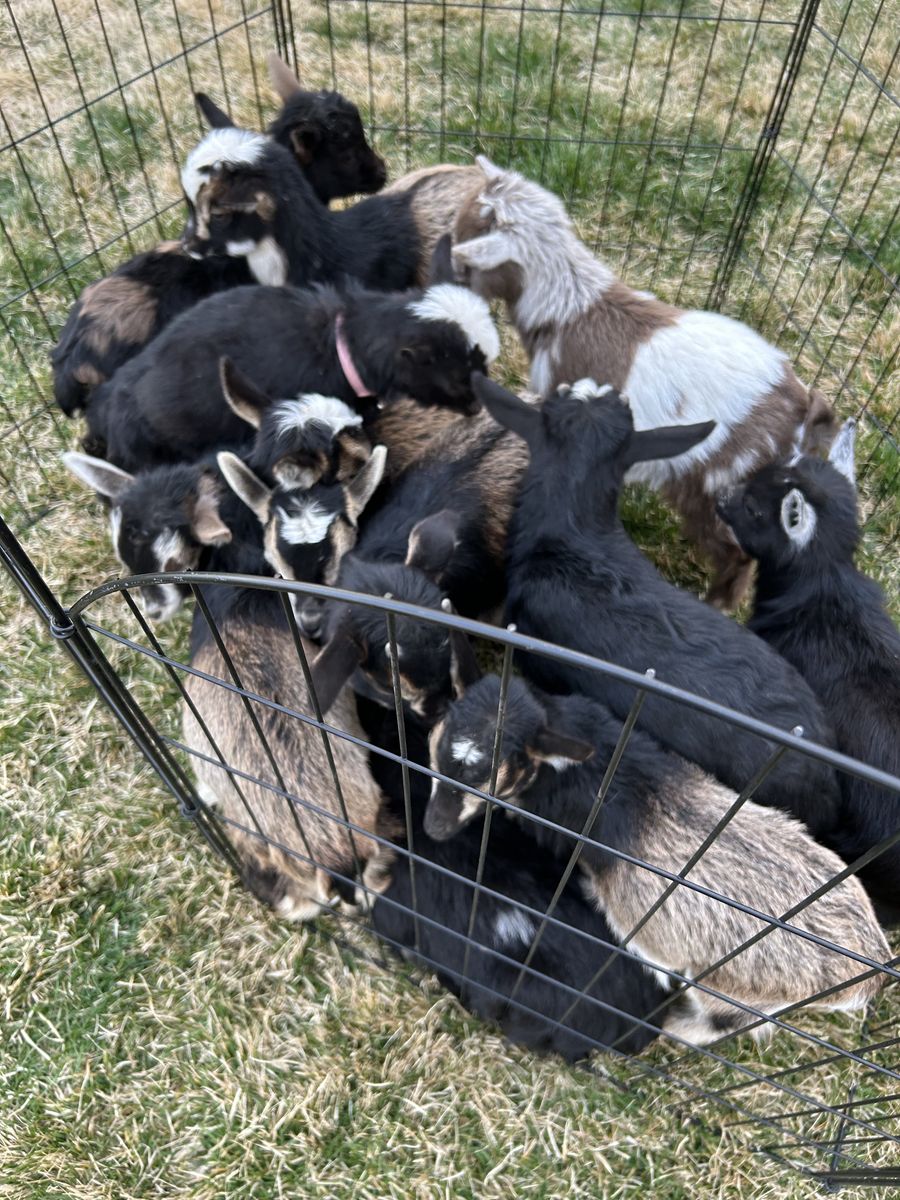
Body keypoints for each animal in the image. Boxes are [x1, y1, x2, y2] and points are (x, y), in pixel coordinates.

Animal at [424, 674, 889, 1045]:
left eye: (488, 775)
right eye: (438, 748)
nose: (434, 828)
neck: (600, 773)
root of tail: (873, 969)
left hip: (735, 990)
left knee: (727, 1023)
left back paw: (676, 1028)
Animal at [452, 157, 837, 609]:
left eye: (466, 257)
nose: (447, 282)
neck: (572, 307)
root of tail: (800, 406)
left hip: (717, 483)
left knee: (737, 552)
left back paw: (718, 604)